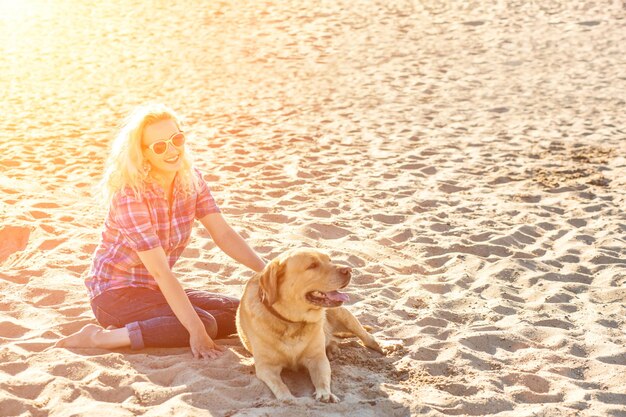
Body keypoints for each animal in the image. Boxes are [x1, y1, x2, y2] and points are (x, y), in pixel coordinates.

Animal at [235, 249, 378, 402]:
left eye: (330, 260)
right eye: (312, 265)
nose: (348, 269)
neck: (292, 322)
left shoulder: (317, 359)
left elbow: (321, 378)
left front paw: (325, 393)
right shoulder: (266, 367)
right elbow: (280, 386)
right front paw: (288, 398)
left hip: (344, 316)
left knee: (367, 337)